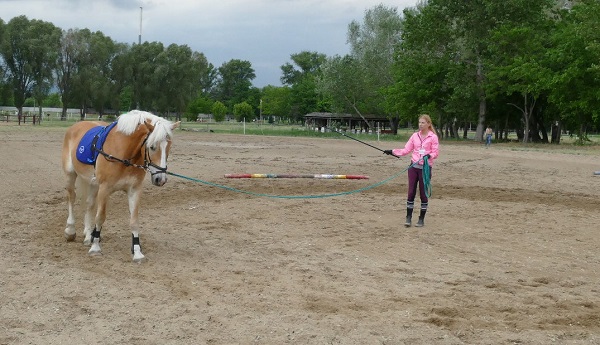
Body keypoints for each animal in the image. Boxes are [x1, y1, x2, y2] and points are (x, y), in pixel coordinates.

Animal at [62, 110, 183, 260]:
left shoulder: (134, 190)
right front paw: (95, 247)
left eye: (169, 147)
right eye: (152, 147)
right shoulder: (104, 188)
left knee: (89, 204)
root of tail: (76, 125)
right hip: (70, 175)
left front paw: (137, 251)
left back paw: (88, 235)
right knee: (71, 198)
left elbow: (134, 221)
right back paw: (70, 231)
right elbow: (100, 217)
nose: (160, 179)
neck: (125, 154)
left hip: (93, 183)